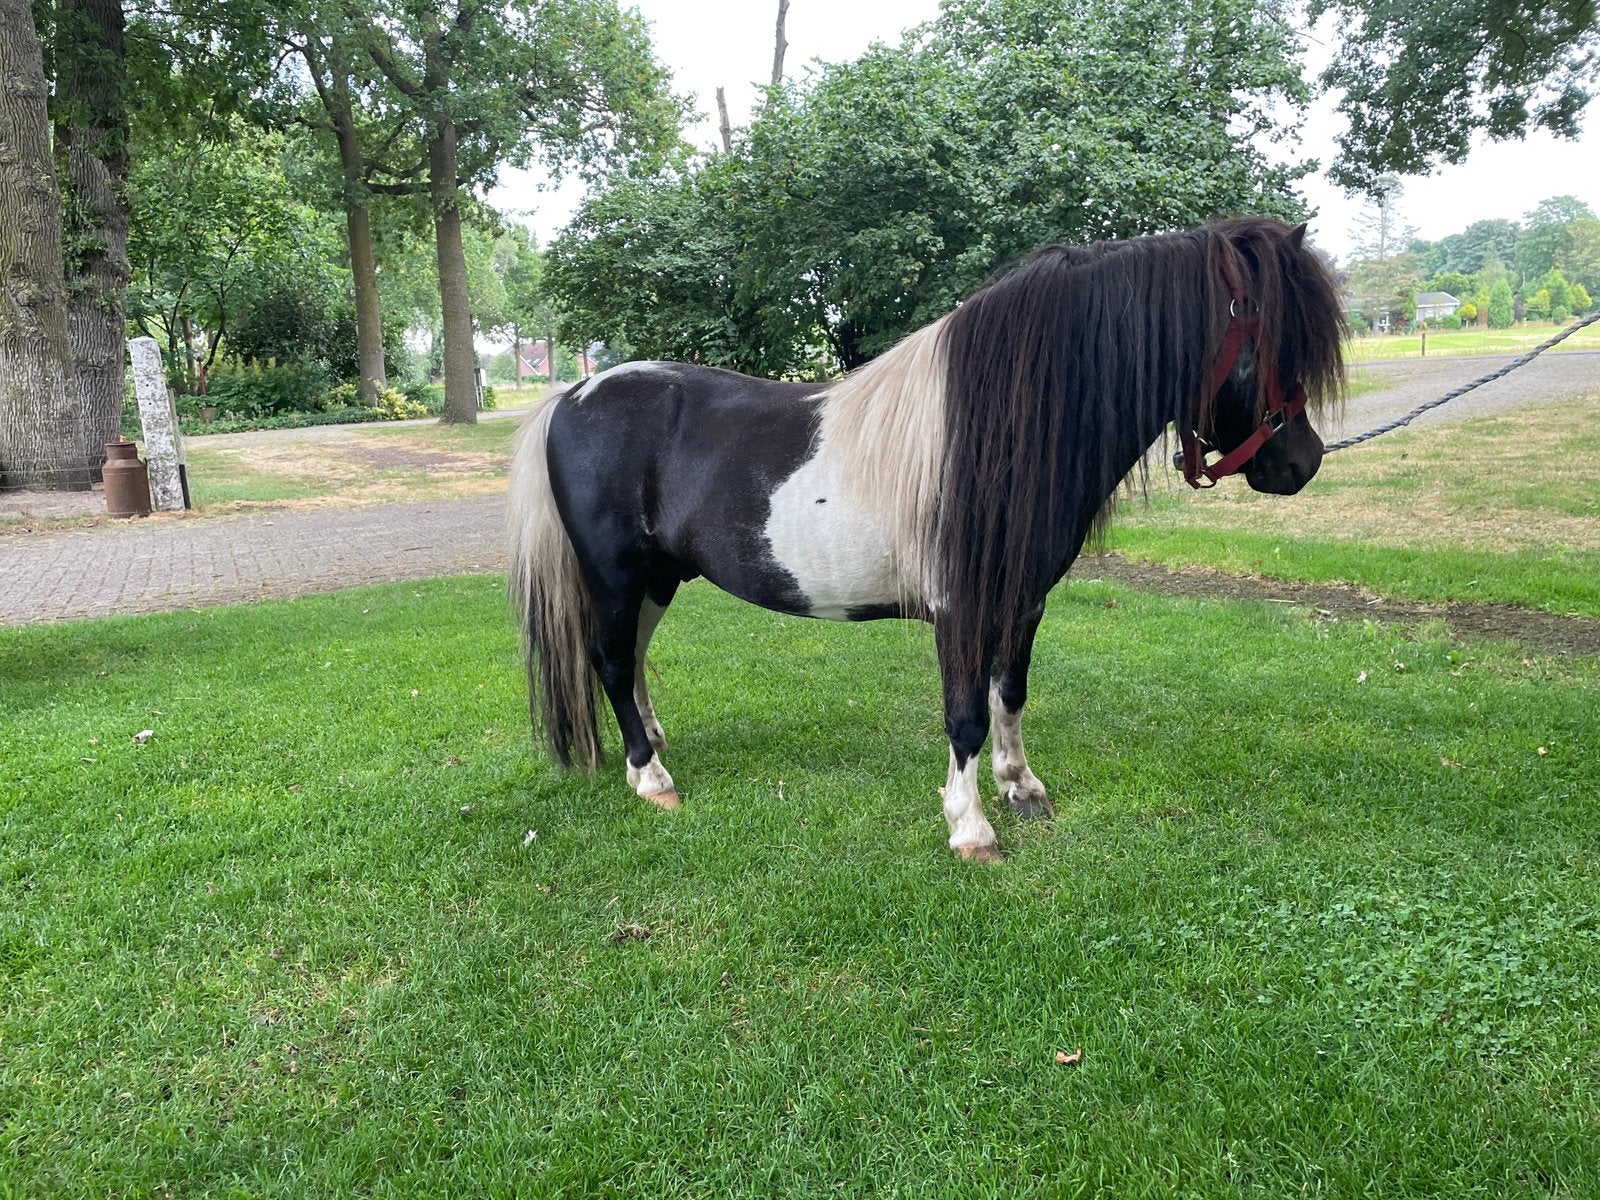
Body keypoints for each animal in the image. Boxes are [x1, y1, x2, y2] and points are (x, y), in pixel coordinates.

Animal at [509, 217, 1346, 862]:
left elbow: (1010, 693)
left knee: (634, 663)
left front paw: (1021, 787)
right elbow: (964, 713)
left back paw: (653, 747)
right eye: (1265, 342)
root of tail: (573, 395)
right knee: (613, 664)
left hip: (659, 577)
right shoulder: (961, 607)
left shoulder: (1023, 600)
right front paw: (970, 827)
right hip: (615, 576)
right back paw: (651, 779)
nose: (1302, 463)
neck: (1000, 430)